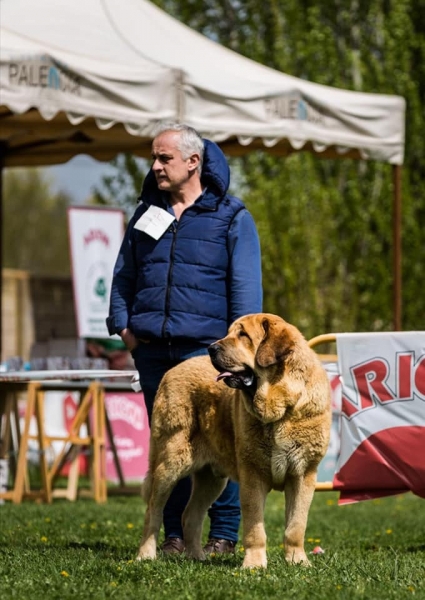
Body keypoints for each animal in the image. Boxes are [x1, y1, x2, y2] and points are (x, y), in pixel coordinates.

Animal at [136, 314, 332, 568]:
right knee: (153, 511)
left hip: (211, 479)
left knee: (190, 515)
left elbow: (296, 526)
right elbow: (255, 528)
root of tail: (172, 370)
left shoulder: (303, 474)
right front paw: (254, 565)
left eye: (243, 335)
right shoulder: (252, 475)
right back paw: (145, 555)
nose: (211, 348)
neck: (281, 406)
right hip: (169, 463)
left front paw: (297, 562)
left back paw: (196, 557)